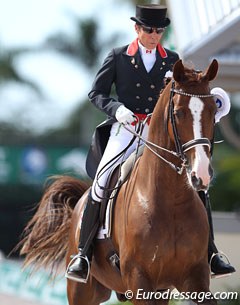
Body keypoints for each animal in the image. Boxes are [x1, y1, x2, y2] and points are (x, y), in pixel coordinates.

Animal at [19, 57, 219, 304]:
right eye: (179, 112)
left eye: (213, 110)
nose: (201, 174)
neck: (171, 200)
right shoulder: (139, 279)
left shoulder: (195, 278)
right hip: (81, 290)